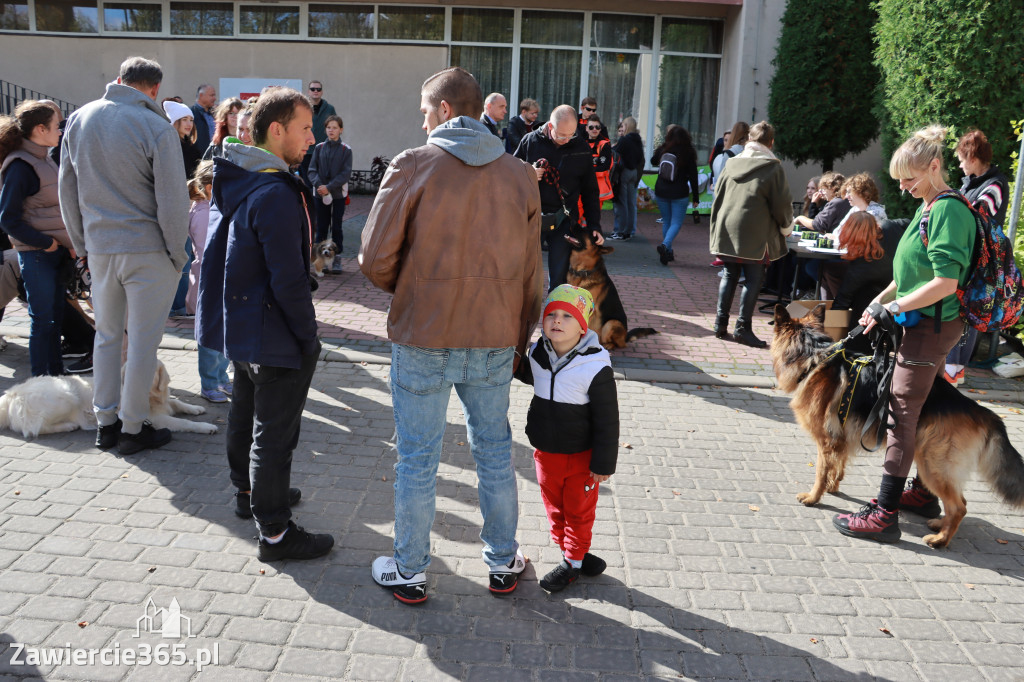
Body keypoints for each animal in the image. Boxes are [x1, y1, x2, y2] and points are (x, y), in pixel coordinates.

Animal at [1, 358, 218, 438]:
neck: (151, 398)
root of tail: (11, 394)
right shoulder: (155, 418)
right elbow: (184, 422)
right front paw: (206, 427)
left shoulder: (164, 402)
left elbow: (177, 402)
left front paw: (196, 409)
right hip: (66, 395)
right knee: (34, 429)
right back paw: (68, 426)